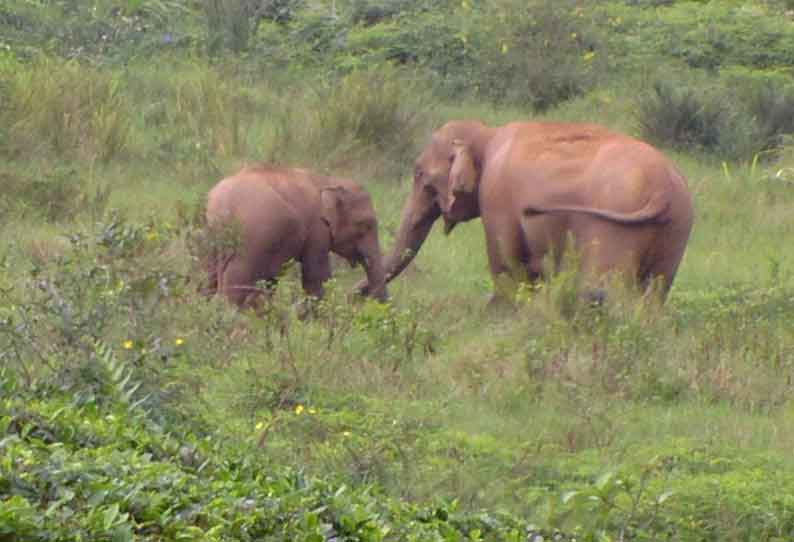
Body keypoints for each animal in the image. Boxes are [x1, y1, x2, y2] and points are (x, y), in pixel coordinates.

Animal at [203, 165, 386, 310]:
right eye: (365, 225)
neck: (327, 181)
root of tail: (222, 209)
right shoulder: (317, 229)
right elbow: (316, 276)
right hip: (248, 246)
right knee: (235, 288)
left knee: (206, 279)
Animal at [356, 120, 688, 306]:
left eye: (420, 175)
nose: (356, 294)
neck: (487, 134)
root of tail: (663, 188)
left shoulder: (497, 197)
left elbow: (506, 265)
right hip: (676, 230)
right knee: (656, 292)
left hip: (614, 229)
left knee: (603, 288)